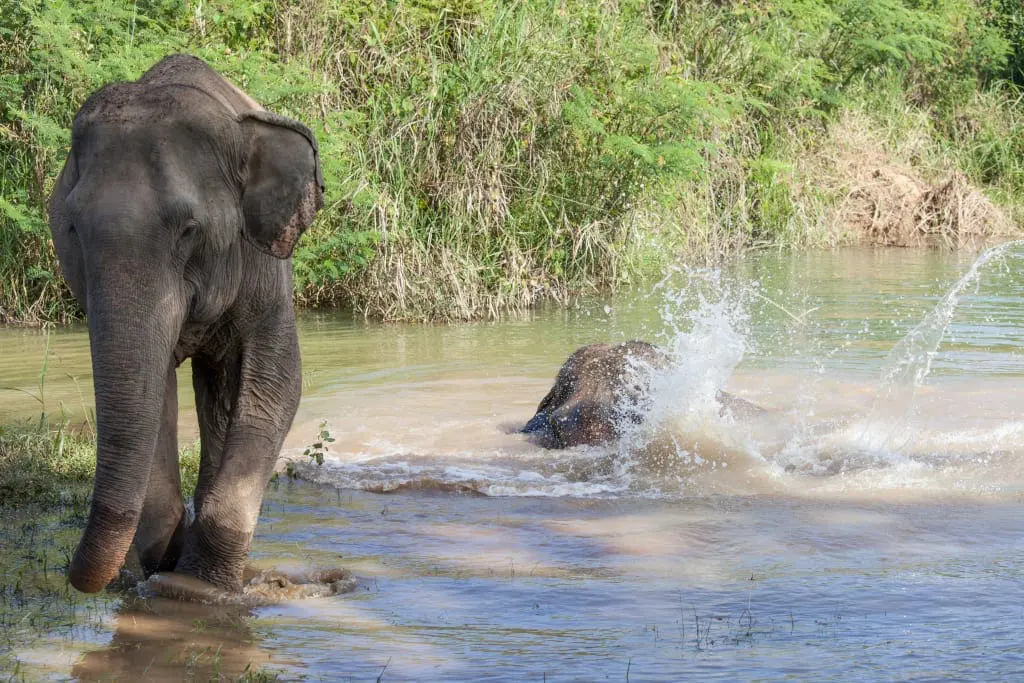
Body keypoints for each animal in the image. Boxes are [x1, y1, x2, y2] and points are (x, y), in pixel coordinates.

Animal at [48, 56, 323, 593]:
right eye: (71, 229)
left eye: (189, 230)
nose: (70, 573)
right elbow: (154, 392)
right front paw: (167, 563)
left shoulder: (263, 269)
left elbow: (277, 386)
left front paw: (201, 586)